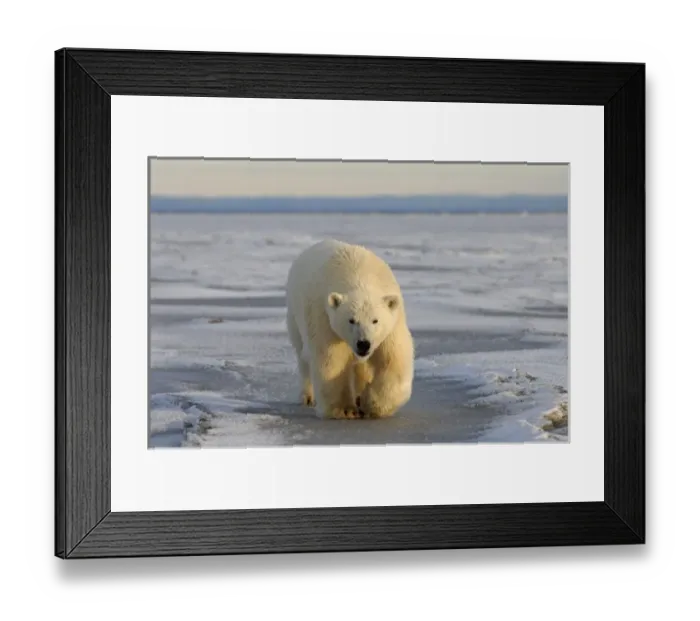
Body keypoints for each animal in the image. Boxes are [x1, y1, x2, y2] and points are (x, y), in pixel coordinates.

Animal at [285, 239, 414, 420]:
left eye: (375, 320)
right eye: (351, 320)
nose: (363, 344)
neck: (357, 274)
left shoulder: (392, 325)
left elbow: (393, 360)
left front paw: (370, 404)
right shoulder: (325, 319)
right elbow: (332, 362)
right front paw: (345, 410)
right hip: (295, 315)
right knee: (303, 356)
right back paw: (308, 397)